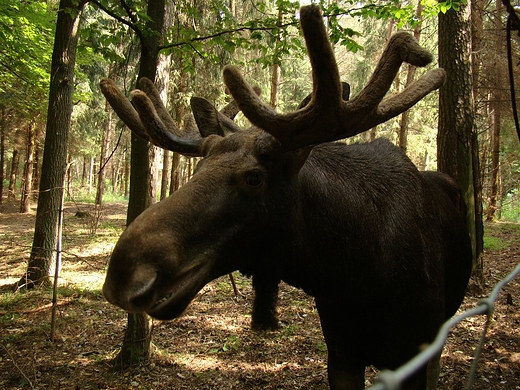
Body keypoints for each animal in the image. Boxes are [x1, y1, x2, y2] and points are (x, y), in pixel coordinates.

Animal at [99, 5, 474, 390]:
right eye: (199, 166)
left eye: (254, 178)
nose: (125, 274)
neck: (353, 273)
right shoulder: (341, 352)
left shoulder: (414, 353)